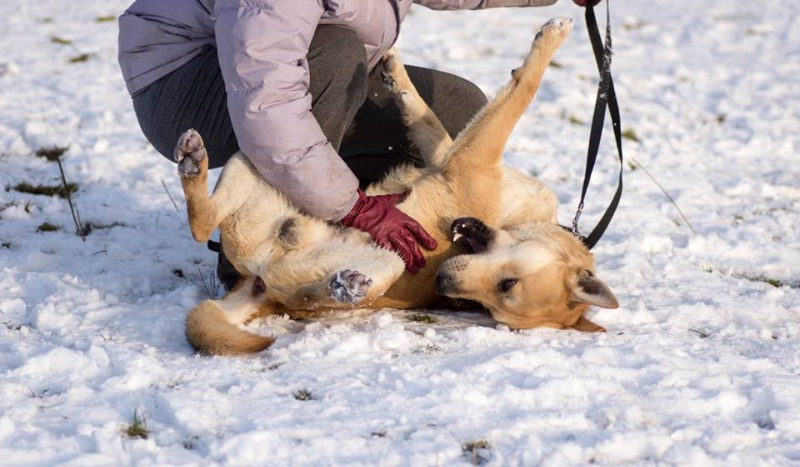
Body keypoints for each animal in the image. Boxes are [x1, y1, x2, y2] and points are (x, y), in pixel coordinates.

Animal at [175, 16, 620, 356]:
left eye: (504, 289)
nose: (442, 281)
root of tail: (260, 287)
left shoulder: (468, 159)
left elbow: (522, 90)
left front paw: (551, 38)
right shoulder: (446, 155)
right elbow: (425, 114)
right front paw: (395, 73)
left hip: (364, 245)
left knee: (212, 233)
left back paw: (339, 284)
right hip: (260, 154)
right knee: (209, 221)